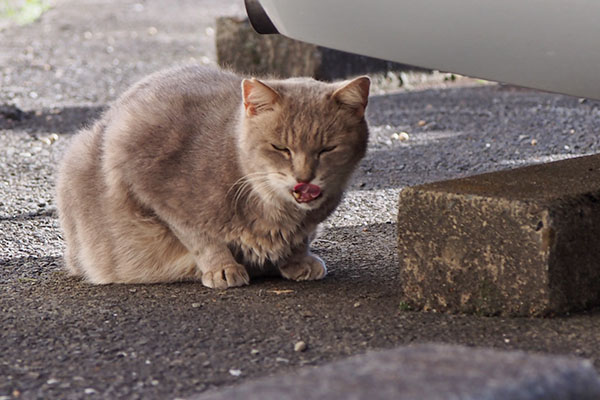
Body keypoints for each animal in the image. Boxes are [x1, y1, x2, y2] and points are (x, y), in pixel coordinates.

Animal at [55, 65, 370, 288]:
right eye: (281, 148)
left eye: (327, 149)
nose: (304, 177)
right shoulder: (151, 184)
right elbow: (200, 237)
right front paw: (222, 268)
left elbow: (301, 238)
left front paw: (297, 260)